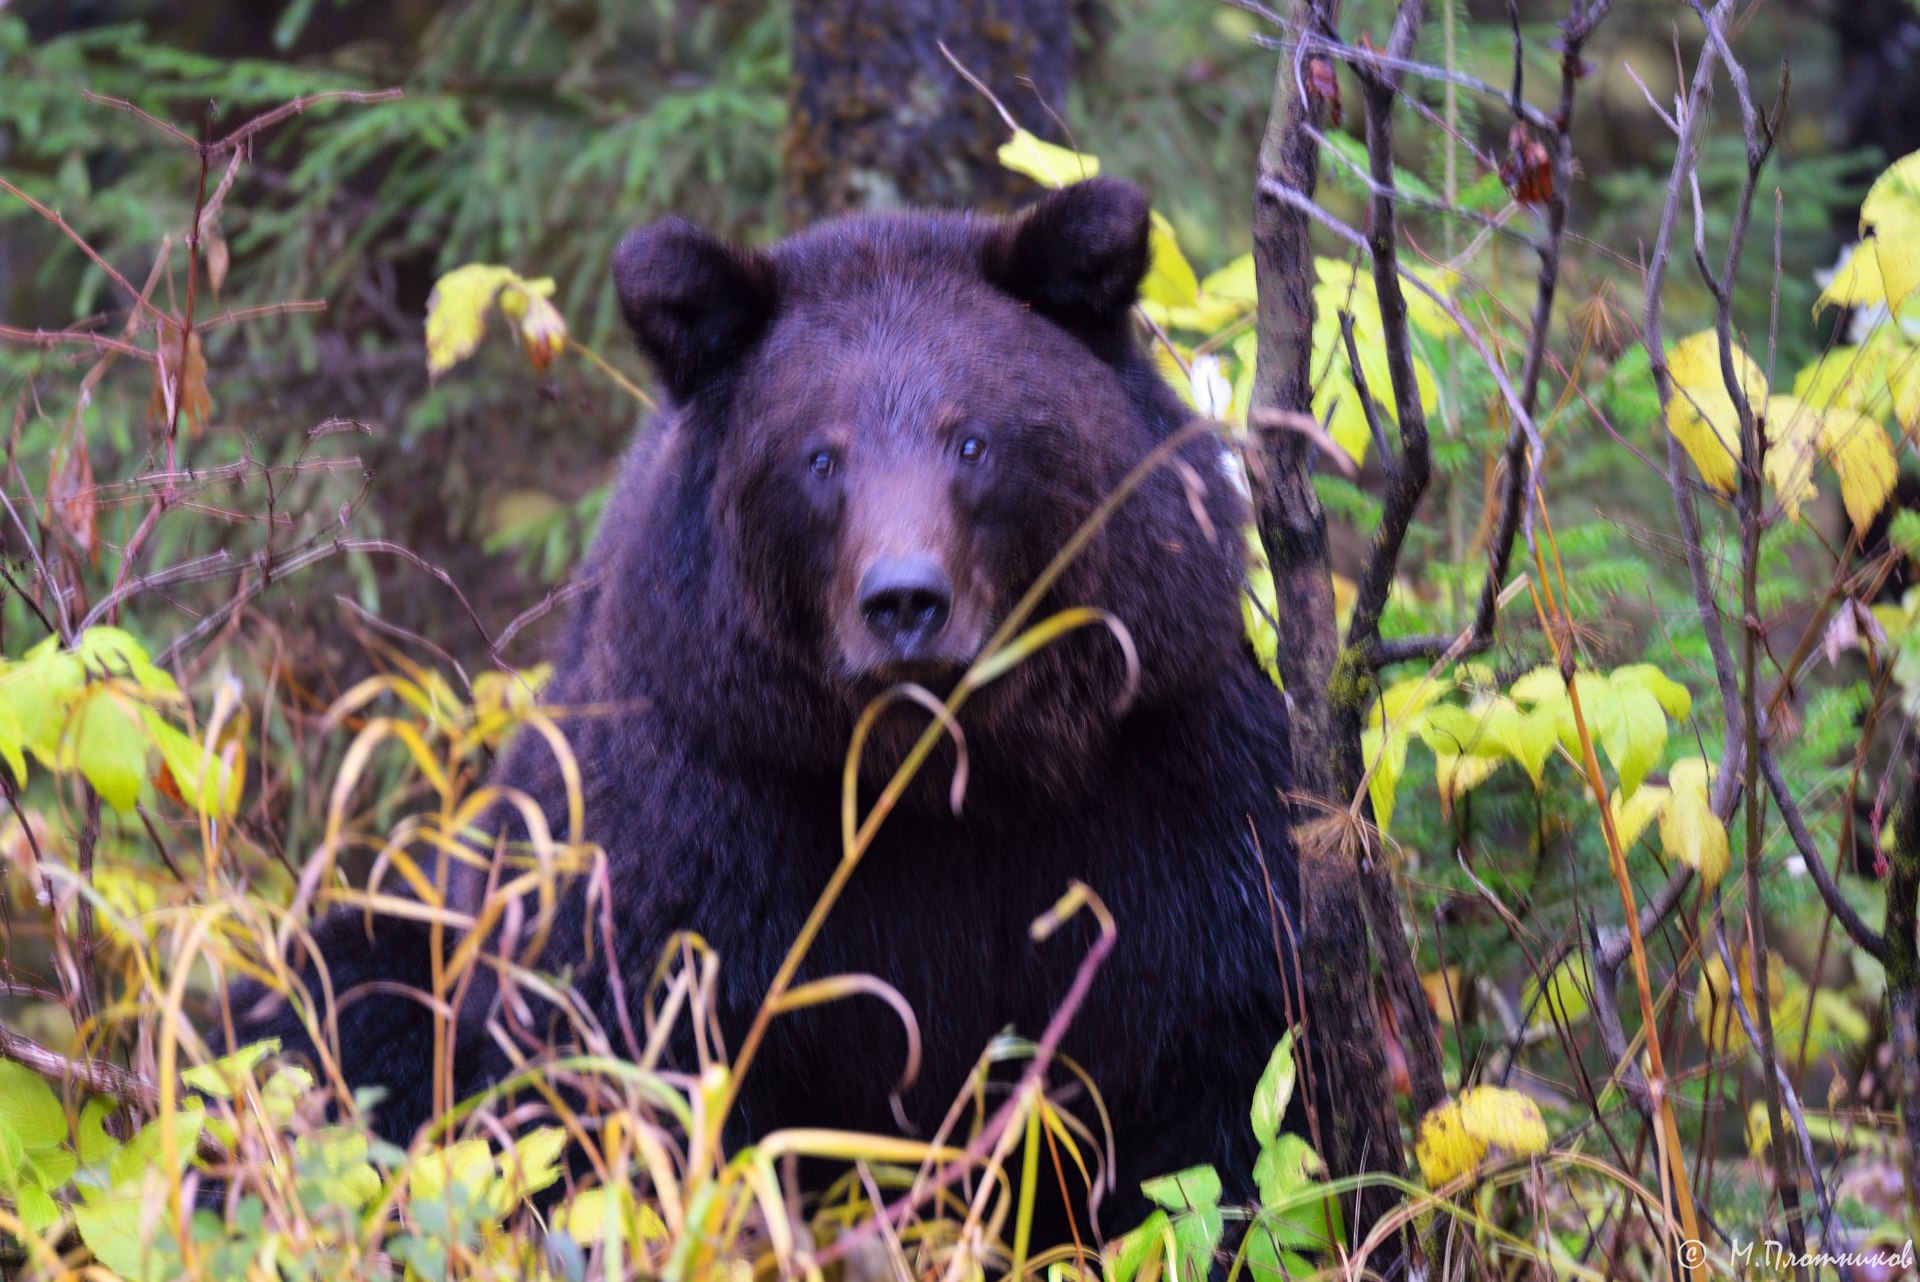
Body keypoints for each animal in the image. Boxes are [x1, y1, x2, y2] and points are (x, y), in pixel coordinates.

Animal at [236, 177, 1290, 1243]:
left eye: (974, 440)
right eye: (820, 457)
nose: (905, 601)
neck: (941, 775)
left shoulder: (1161, 781)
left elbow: (1215, 1079)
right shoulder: (700, 812)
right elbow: (635, 1064)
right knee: (333, 1001)